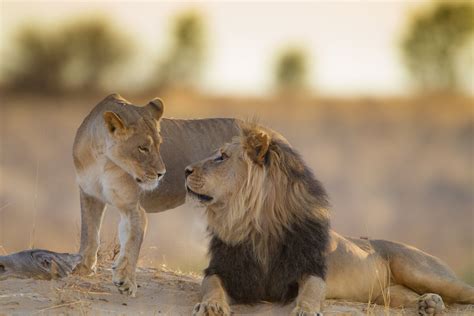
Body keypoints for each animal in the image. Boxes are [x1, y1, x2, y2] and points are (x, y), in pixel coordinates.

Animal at [73, 94, 241, 296]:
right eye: (143, 148)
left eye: (159, 145)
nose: (162, 173)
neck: (102, 158)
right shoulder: (90, 194)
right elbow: (89, 232)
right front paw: (83, 268)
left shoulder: (133, 207)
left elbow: (132, 241)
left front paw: (126, 280)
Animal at [185, 124, 474, 316]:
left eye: (222, 157)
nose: (185, 170)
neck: (255, 224)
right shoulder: (222, 270)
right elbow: (212, 286)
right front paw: (211, 305)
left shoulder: (311, 269)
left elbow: (311, 291)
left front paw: (305, 310)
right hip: (389, 294)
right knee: (407, 297)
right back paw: (428, 304)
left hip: (422, 271)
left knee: (464, 290)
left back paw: (433, 302)